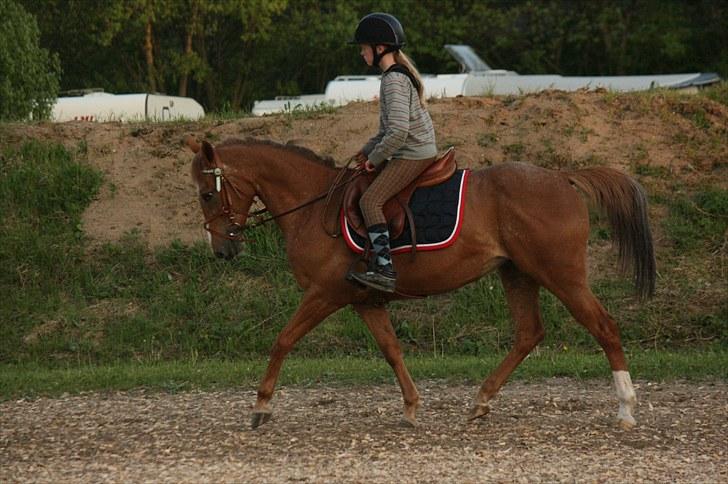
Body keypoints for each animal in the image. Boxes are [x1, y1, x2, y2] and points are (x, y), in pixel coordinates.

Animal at [186, 137, 655, 430]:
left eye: (207, 194)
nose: (222, 250)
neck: (314, 206)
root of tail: (561, 177)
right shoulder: (366, 300)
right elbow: (392, 351)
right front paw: (411, 408)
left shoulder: (324, 293)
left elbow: (283, 340)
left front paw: (261, 406)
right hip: (518, 273)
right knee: (529, 334)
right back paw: (481, 401)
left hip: (561, 275)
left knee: (604, 327)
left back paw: (626, 409)